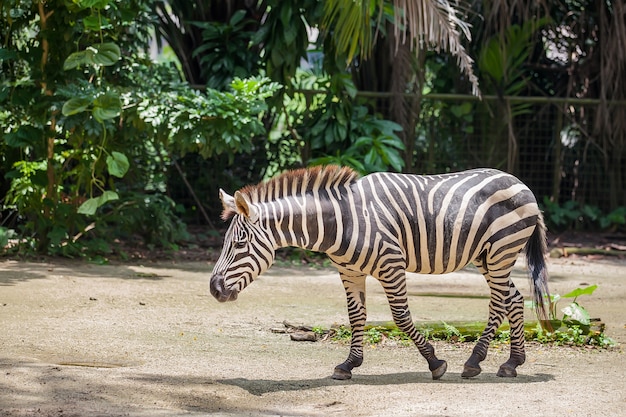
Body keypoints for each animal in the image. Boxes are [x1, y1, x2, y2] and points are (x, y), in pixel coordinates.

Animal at [208, 164, 544, 378]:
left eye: (239, 244)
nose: (214, 289)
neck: (341, 221)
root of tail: (521, 182)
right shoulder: (349, 272)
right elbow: (356, 317)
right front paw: (348, 365)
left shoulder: (391, 265)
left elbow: (400, 317)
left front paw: (434, 362)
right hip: (488, 256)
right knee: (513, 299)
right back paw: (512, 363)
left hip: (501, 250)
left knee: (499, 302)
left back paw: (474, 361)